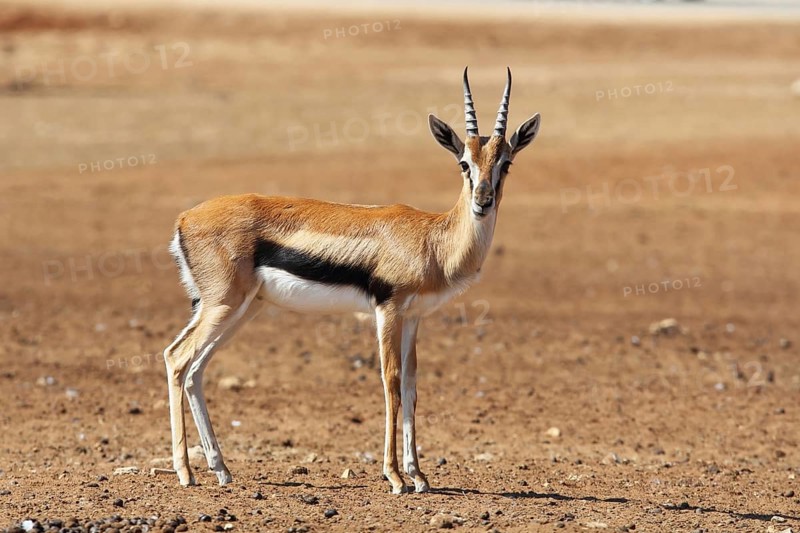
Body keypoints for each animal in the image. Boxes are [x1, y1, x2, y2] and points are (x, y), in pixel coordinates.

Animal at [163, 67, 541, 494]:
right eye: (464, 163)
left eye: (505, 163)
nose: (483, 202)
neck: (432, 238)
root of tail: (184, 218)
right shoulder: (387, 309)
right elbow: (390, 381)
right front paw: (395, 476)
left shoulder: (413, 317)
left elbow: (411, 386)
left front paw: (419, 475)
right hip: (224, 305)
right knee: (177, 358)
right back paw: (186, 472)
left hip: (244, 309)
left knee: (196, 370)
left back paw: (221, 469)